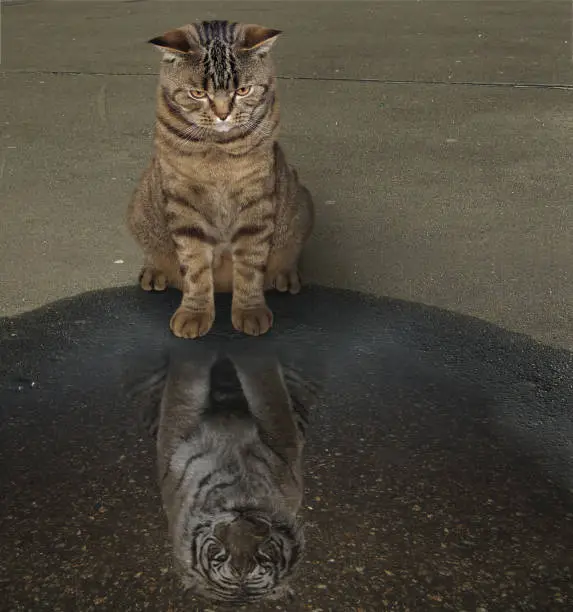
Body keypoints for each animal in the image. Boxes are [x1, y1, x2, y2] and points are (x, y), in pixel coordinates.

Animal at [126, 21, 312, 340]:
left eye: (243, 90)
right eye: (198, 93)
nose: (223, 114)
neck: (218, 152)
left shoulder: (256, 199)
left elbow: (250, 264)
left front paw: (250, 311)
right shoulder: (183, 202)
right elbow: (194, 267)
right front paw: (194, 313)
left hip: (299, 203)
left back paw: (286, 274)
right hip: (139, 209)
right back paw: (154, 270)